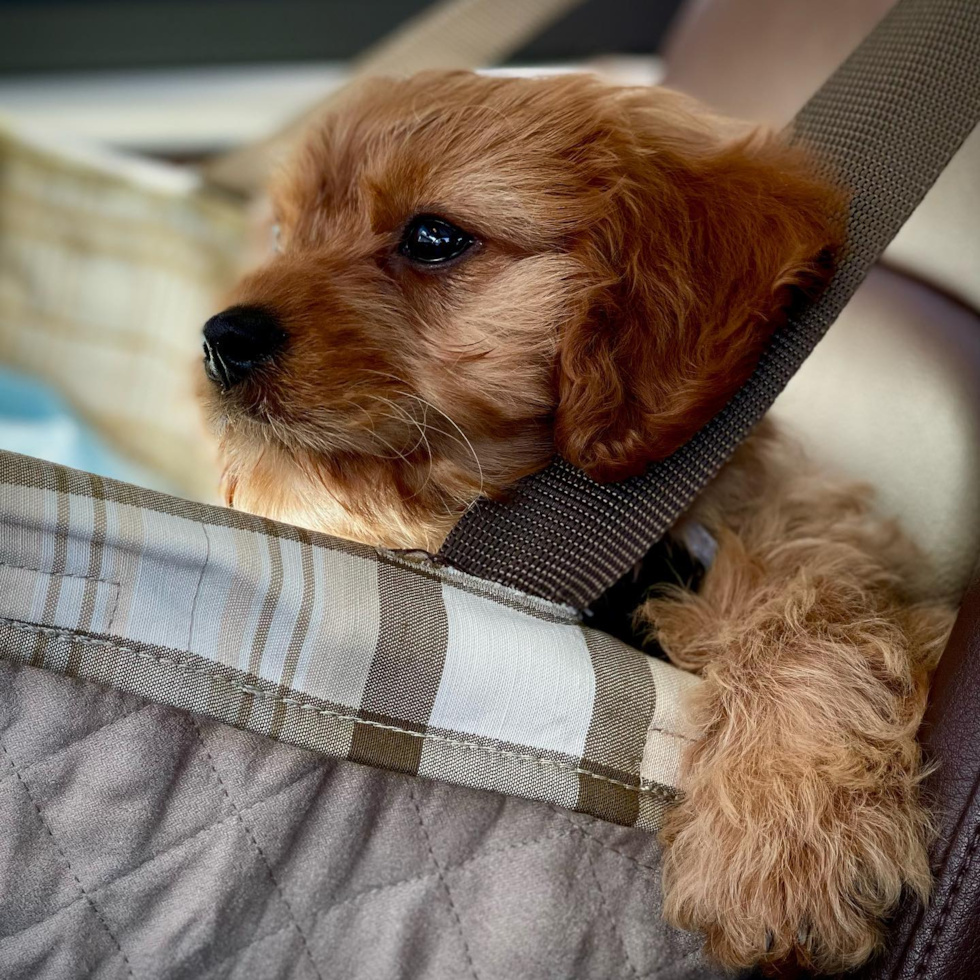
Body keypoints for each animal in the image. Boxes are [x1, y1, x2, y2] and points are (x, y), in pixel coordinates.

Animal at [201, 72, 956, 976]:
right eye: (283, 234)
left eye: (433, 237)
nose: (220, 338)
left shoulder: (825, 534)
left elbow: (810, 601)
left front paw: (783, 841)